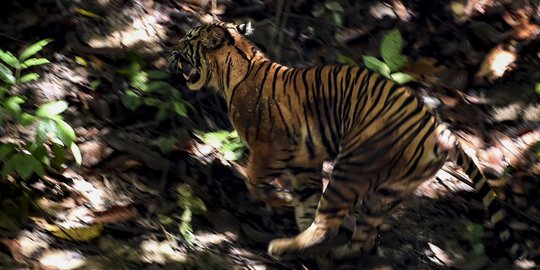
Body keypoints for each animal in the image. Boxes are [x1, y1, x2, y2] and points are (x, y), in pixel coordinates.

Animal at [170, 22, 532, 258]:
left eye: (188, 39)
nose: (171, 51)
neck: (238, 65)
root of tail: (442, 130)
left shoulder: (269, 149)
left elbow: (254, 182)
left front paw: (279, 201)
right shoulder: (305, 160)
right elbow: (305, 200)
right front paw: (294, 215)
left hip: (352, 168)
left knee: (330, 222)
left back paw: (283, 247)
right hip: (387, 191)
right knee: (363, 235)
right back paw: (334, 253)